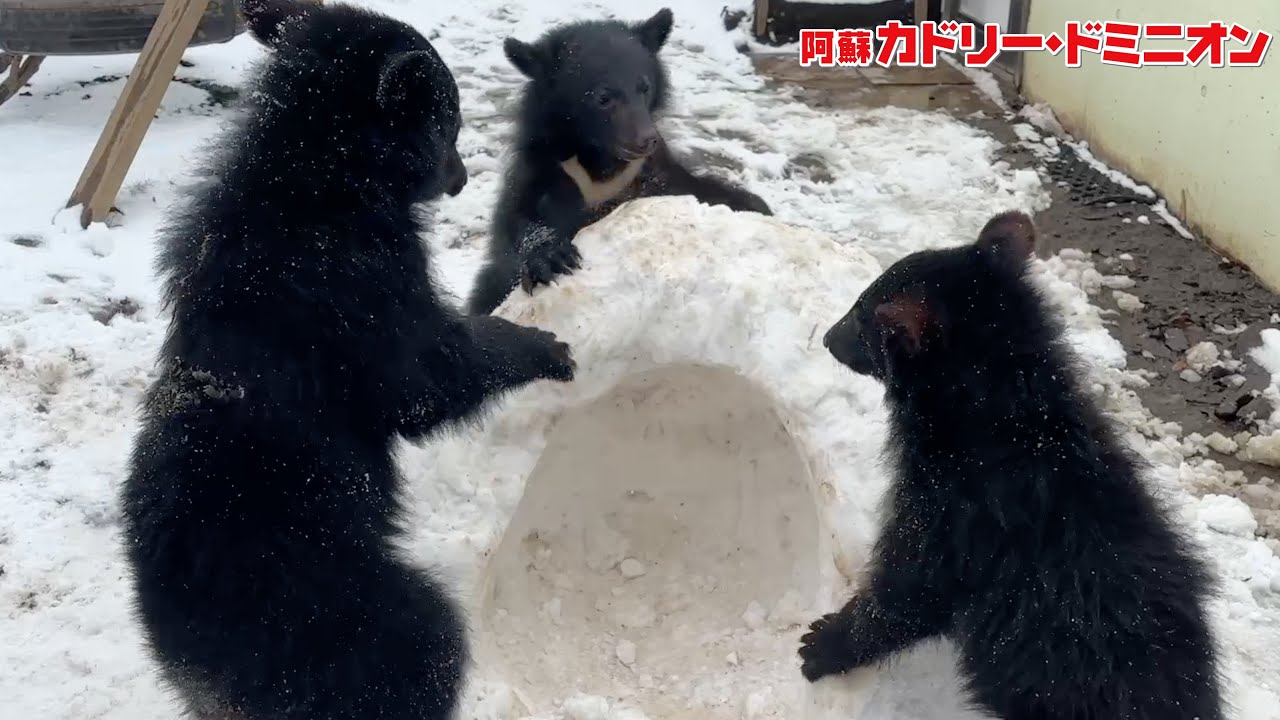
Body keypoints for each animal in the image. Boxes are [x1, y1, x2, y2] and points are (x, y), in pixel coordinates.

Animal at [118, 1, 575, 718]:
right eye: (448, 123)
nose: (462, 177)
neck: (317, 182)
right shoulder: (357, 290)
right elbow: (425, 377)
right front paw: (543, 345)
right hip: (352, 617)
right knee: (422, 654)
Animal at [464, 8, 773, 315]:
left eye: (644, 86)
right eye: (603, 97)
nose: (646, 139)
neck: (603, 164)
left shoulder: (656, 173)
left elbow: (700, 190)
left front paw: (757, 206)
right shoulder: (547, 168)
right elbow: (522, 218)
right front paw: (551, 258)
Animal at [799, 211, 1224, 720]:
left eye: (864, 319)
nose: (826, 337)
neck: (1007, 412)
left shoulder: (951, 515)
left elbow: (908, 591)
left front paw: (822, 646)